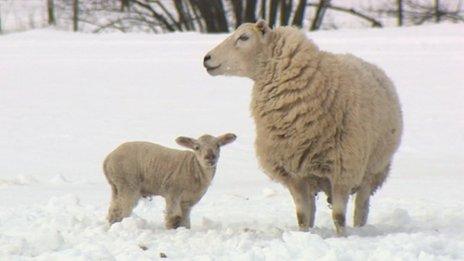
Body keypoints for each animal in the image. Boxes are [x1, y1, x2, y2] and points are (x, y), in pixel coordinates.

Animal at [104, 133, 237, 229]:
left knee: (113, 209)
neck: (194, 168)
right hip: (128, 183)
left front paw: (185, 230)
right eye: (197, 147)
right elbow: (174, 217)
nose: (210, 157)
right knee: (123, 209)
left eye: (218, 145)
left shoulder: (188, 201)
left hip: (116, 186)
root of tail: (107, 160)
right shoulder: (173, 192)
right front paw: (171, 230)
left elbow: (185, 219)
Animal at [203, 20, 402, 236]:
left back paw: (360, 228)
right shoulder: (293, 173)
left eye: (244, 37)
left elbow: (338, 217)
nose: (206, 58)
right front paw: (303, 234)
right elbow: (302, 216)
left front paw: (342, 237)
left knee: (361, 207)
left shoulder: (343, 169)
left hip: (373, 169)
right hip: (313, 176)